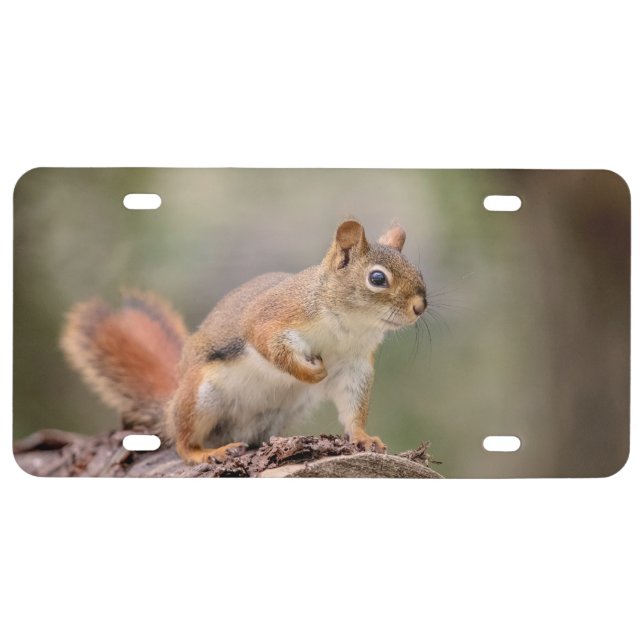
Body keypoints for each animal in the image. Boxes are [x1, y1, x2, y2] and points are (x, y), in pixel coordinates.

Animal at [61, 219, 427, 464]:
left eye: (418, 272)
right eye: (377, 278)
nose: (420, 307)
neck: (349, 325)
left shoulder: (354, 364)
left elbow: (353, 406)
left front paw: (364, 438)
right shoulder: (273, 317)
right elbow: (270, 346)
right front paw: (311, 373)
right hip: (200, 396)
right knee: (183, 441)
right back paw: (206, 452)